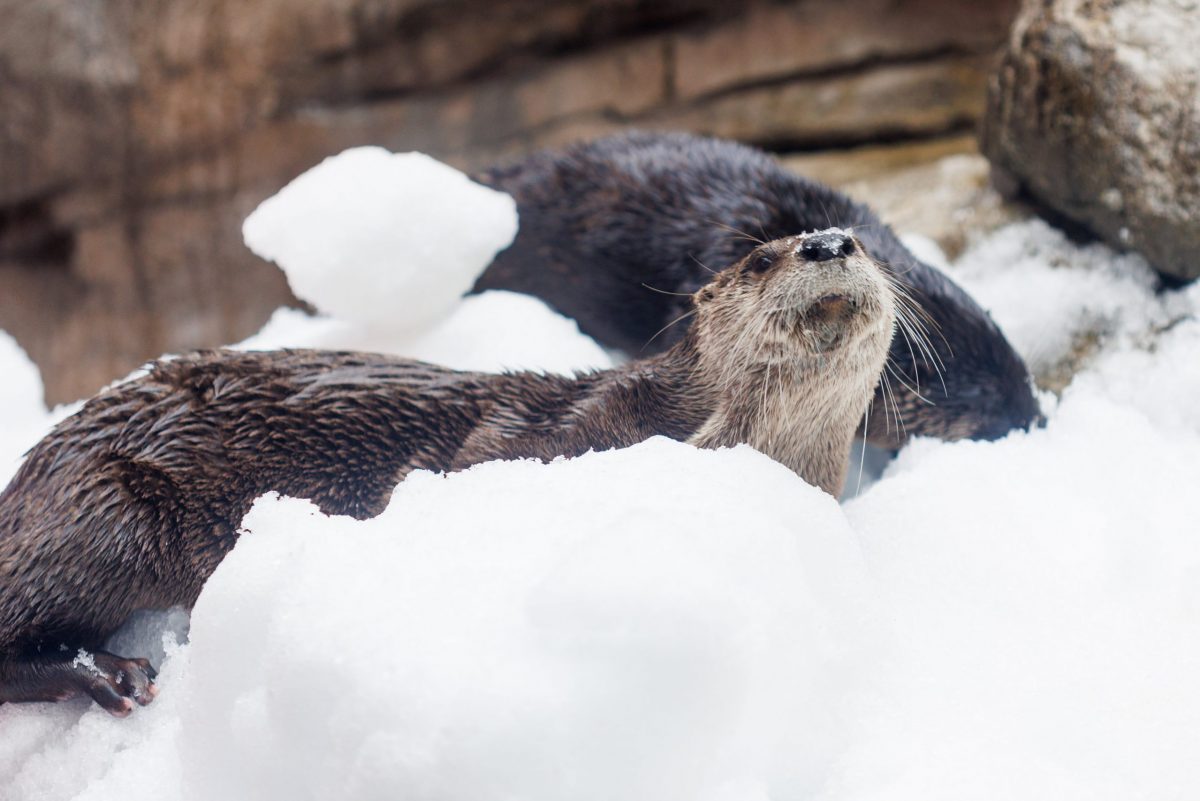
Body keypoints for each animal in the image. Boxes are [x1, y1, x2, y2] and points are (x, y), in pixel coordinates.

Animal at [0, 227, 897, 714]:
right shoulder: (542, 431)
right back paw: (111, 673)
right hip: (105, 509)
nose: (826, 243)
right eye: (761, 260)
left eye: (858, 240)